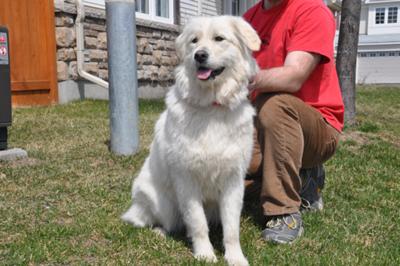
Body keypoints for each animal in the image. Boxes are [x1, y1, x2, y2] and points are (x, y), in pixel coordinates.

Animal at [121, 16, 260, 266]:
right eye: (194, 41)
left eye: (219, 38)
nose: (199, 55)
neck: (211, 107)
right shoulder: (186, 179)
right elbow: (197, 222)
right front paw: (205, 254)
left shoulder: (233, 181)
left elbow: (231, 228)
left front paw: (235, 257)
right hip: (161, 202)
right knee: (165, 222)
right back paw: (160, 232)